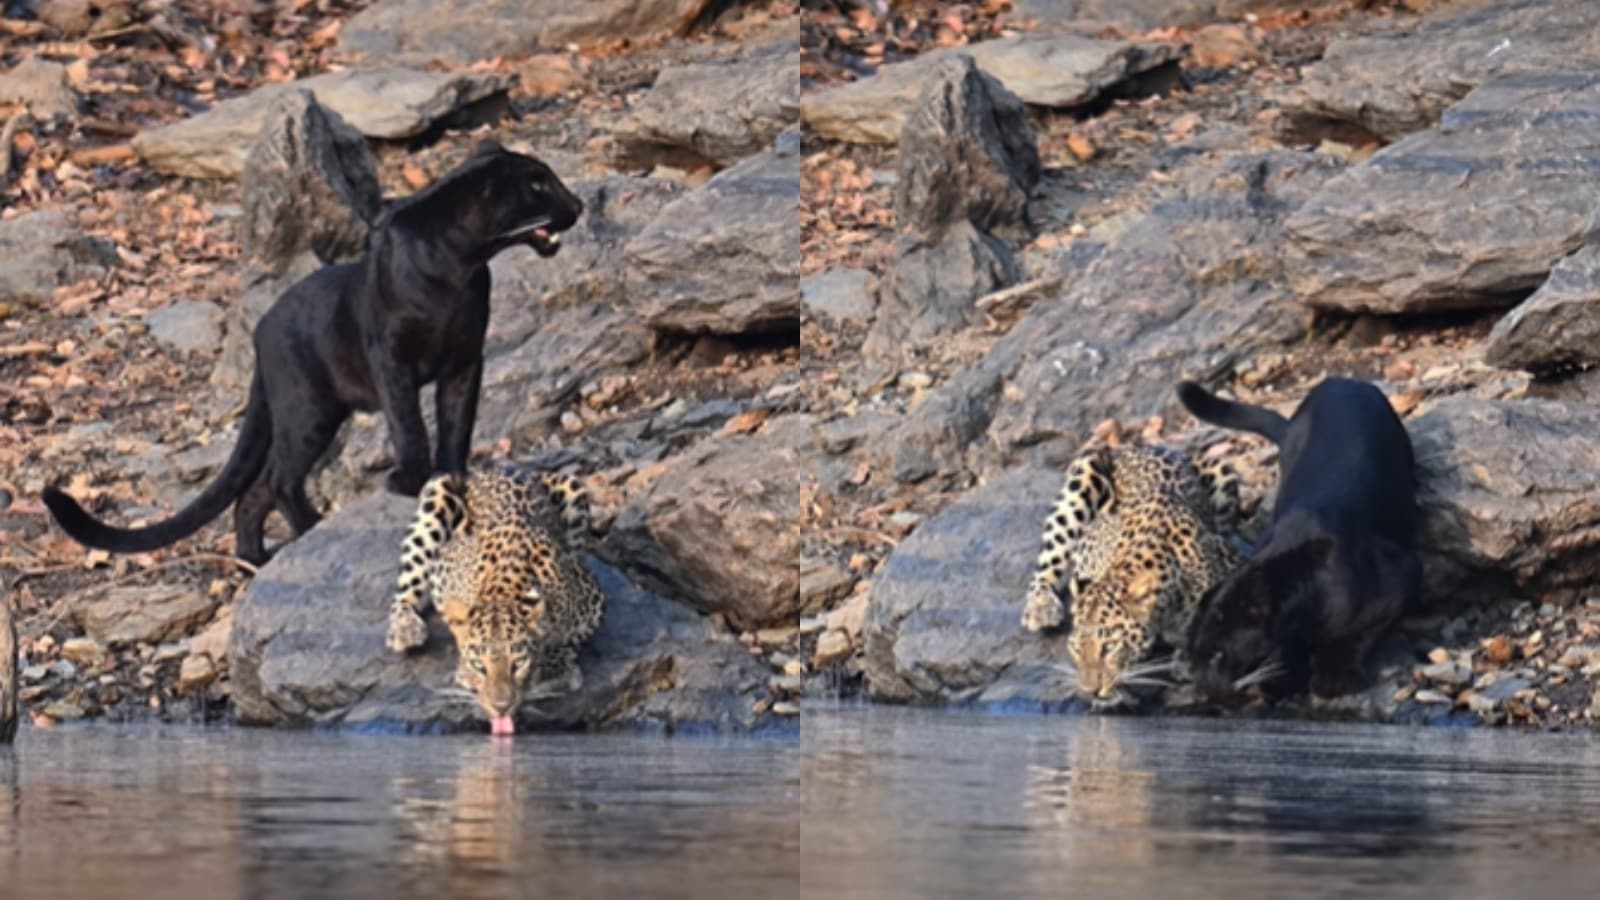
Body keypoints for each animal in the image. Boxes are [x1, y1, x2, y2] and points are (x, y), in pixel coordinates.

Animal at [385, 466, 604, 735]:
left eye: (518, 663)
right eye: (480, 666)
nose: (501, 707)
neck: (504, 589)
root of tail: (496, 467)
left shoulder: (592, 598)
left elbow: (567, 640)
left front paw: (557, 667)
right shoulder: (442, 571)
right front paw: (464, 671)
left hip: (572, 487)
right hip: (437, 493)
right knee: (407, 582)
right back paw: (405, 628)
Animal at [1020, 443, 1244, 707]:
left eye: (1110, 646)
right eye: (1075, 648)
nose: (1088, 691)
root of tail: (1142, 445)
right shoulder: (1089, 548)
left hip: (1223, 472)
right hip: (1082, 474)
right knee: (1051, 553)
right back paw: (1041, 606)